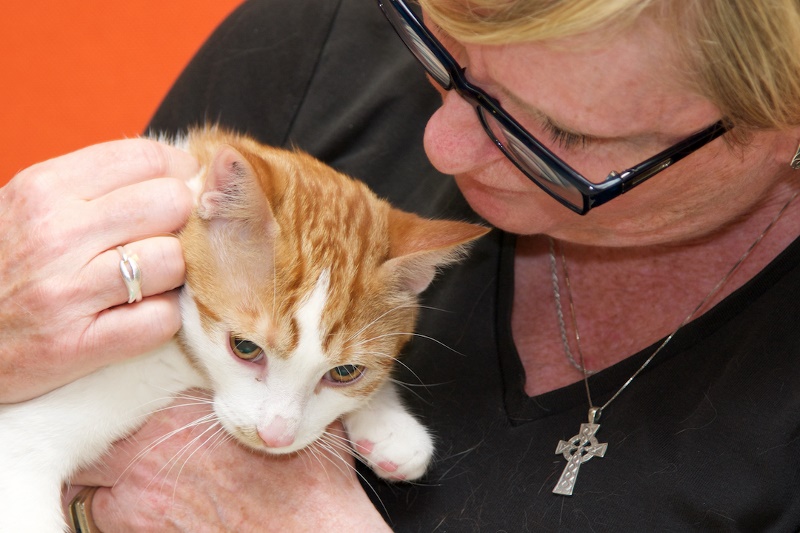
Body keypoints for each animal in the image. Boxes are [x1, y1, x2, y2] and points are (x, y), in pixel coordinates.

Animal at [0, 127, 488, 528]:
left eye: (345, 372)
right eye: (245, 348)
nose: (275, 436)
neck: (181, 365)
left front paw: (388, 423)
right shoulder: (24, 456)